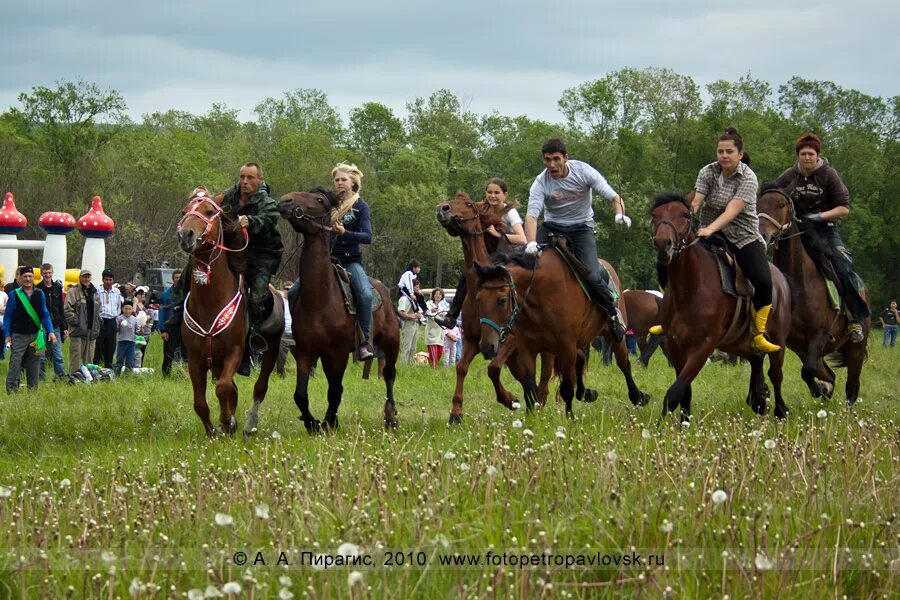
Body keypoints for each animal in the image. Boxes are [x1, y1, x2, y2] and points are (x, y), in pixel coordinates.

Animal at [178, 189, 284, 436]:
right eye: (185, 212)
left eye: (209, 212)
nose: (185, 235)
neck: (210, 302)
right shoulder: (196, 359)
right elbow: (201, 403)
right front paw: (213, 431)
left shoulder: (234, 352)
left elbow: (223, 387)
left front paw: (227, 422)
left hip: (271, 350)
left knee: (259, 387)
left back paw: (249, 425)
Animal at [276, 188, 400, 432]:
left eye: (319, 200)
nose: (285, 201)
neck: (321, 299)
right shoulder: (306, 352)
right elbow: (300, 394)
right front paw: (313, 423)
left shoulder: (338, 352)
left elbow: (335, 390)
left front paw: (330, 422)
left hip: (391, 344)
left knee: (389, 375)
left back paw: (391, 417)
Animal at [436, 192, 556, 422]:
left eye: (468, 204)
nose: (442, 208)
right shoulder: (472, 340)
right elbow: (461, 367)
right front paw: (456, 412)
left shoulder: (510, 340)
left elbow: (492, 368)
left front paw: (509, 399)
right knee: (527, 378)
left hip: (545, 349)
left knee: (545, 378)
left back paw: (539, 404)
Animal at [652, 192, 792, 422]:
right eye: (655, 215)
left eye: (684, 215)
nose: (664, 244)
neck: (688, 289)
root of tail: (780, 279)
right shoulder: (675, 345)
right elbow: (684, 391)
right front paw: (683, 423)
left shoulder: (703, 347)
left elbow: (674, 392)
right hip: (738, 343)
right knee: (756, 361)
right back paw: (759, 400)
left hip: (777, 340)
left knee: (776, 374)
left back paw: (780, 411)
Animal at [756, 186, 868, 404]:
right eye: (758, 204)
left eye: (781, 205)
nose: (763, 236)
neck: (798, 283)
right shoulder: (784, 340)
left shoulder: (819, 334)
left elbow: (807, 371)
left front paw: (820, 390)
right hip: (805, 350)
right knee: (829, 374)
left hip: (855, 350)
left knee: (852, 386)